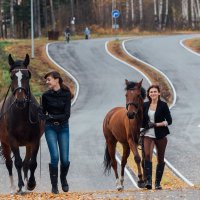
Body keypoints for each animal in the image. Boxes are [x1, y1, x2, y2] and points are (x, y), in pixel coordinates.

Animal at [0, 54, 43, 194]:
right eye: (12, 76)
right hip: (5, 143)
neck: (21, 115)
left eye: (27, 75)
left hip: (28, 144)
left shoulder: (34, 140)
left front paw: (30, 184)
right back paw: (13, 187)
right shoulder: (12, 140)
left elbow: (31, 163)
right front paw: (20, 186)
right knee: (9, 163)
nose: (20, 101)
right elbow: (17, 162)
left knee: (26, 163)